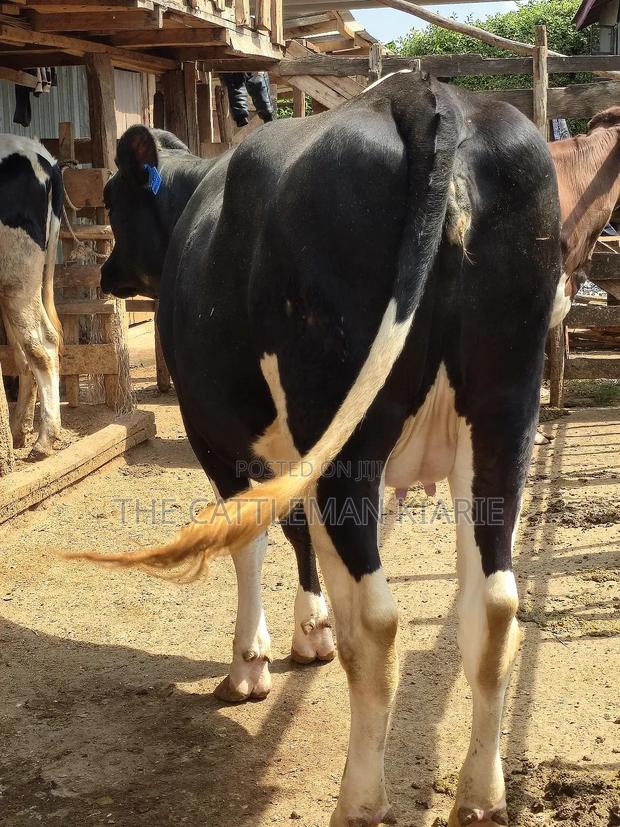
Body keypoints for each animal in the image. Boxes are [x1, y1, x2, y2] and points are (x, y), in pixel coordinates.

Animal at [69, 74, 563, 826]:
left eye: (113, 199)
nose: (106, 273)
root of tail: (428, 96)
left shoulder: (220, 435)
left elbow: (251, 540)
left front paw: (250, 664)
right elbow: (298, 533)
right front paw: (311, 631)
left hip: (343, 438)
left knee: (380, 620)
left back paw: (360, 799)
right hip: (503, 419)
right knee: (494, 605)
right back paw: (480, 795)